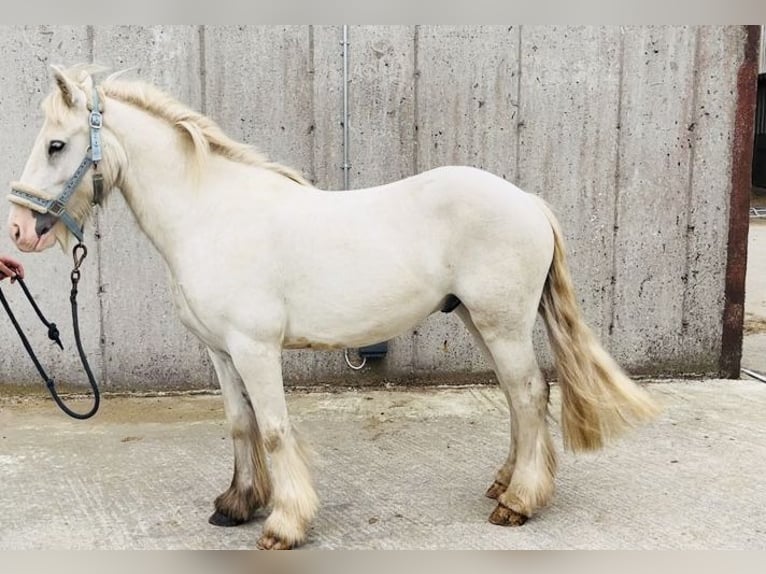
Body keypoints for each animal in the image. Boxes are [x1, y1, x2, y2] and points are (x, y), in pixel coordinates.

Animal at [4, 65, 660, 552]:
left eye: (56, 145)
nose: (19, 232)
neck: (210, 217)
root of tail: (527, 200)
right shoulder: (221, 352)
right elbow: (240, 424)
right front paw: (235, 505)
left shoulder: (255, 349)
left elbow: (273, 429)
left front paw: (284, 524)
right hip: (480, 321)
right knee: (519, 397)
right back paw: (503, 486)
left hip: (502, 324)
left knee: (526, 393)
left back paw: (518, 503)